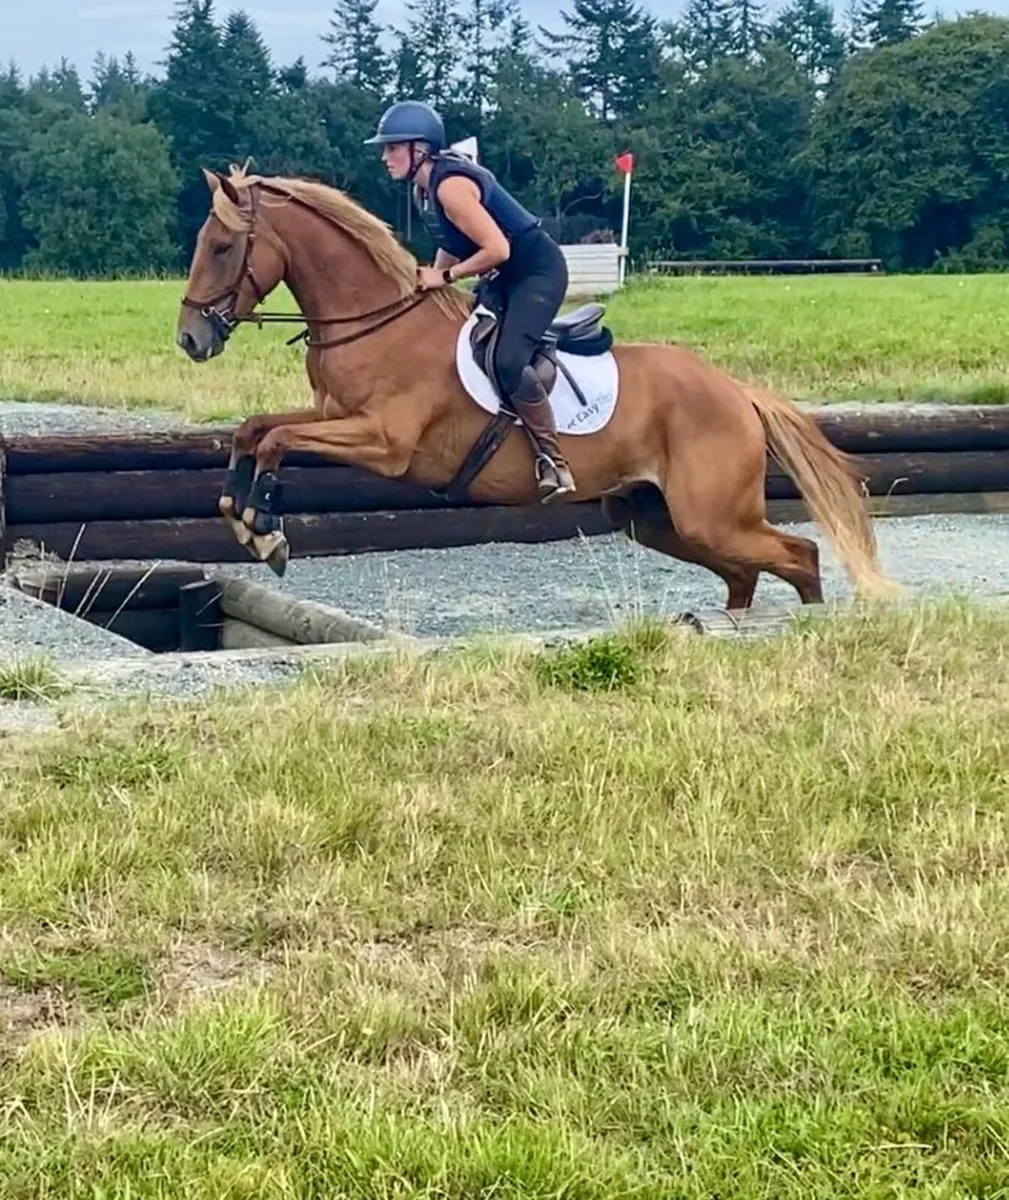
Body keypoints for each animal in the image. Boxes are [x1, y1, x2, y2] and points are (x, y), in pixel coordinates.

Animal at [176, 164, 898, 608]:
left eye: (221, 248)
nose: (190, 338)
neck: (375, 320)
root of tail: (737, 391)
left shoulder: (383, 442)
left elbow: (277, 442)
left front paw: (264, 529)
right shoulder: (331, 414)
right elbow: (257, 429)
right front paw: (242, 517)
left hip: (711, 514)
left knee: (799, 553)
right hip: (657, 519)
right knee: (751, 570)